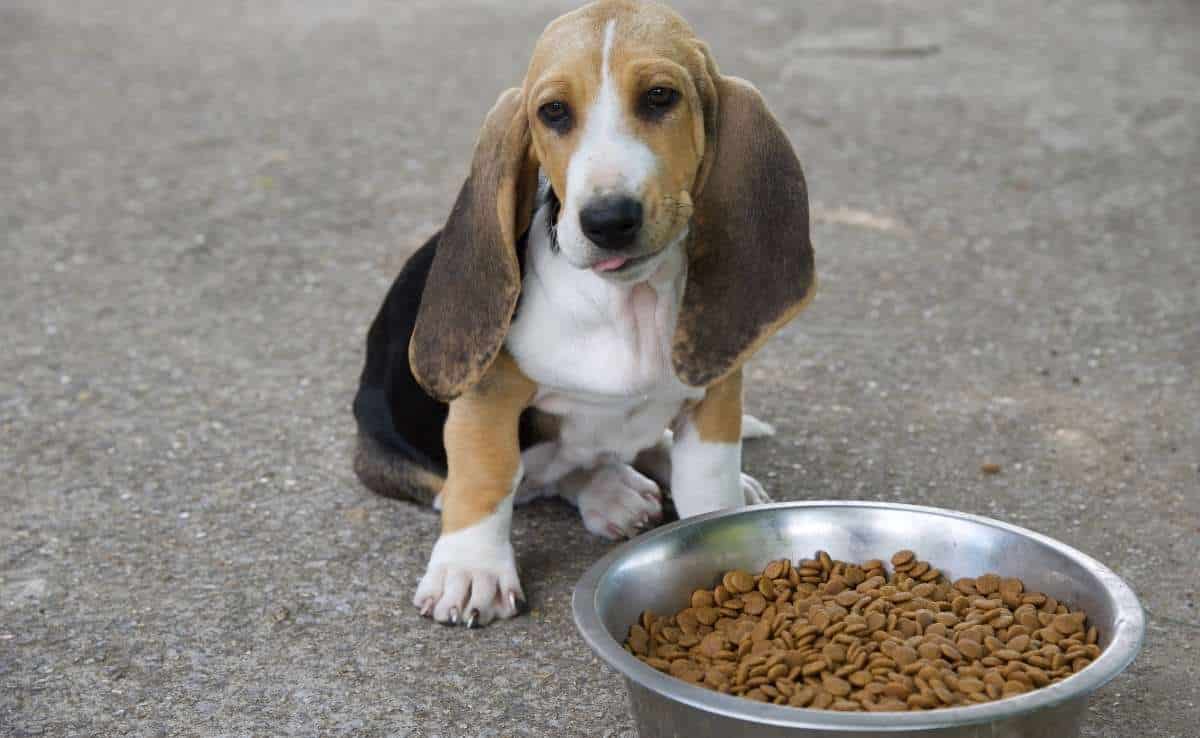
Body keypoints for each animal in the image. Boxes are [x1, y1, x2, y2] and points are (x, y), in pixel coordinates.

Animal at [350, 0, 816, 628]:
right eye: (553, 111)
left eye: (660, 97)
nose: (608, 219)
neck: (627, 303)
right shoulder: (487, 397)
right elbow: (487, 476)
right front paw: (471, 571)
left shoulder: (717, 392)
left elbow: (707, 483)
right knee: (529, 478)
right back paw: (608, 492)